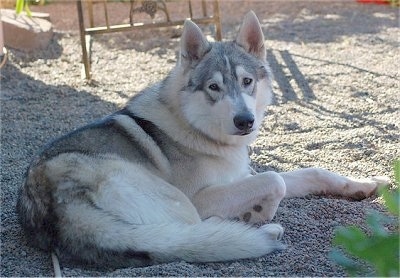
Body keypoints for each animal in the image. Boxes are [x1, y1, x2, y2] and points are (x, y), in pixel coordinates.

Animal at [16, 11, 388, 270]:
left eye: (247, 81)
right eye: (214, 87)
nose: (245, 121)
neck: (198, 129)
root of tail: (51, 205)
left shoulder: (244, 175)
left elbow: (311, 172)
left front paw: (365, 184)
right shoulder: (207, 194)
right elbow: (276, 180)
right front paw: (259, 212)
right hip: (181, 204)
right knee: (191, 235)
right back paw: (255, 230)